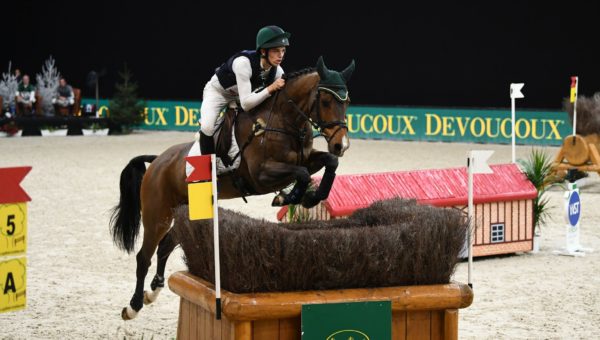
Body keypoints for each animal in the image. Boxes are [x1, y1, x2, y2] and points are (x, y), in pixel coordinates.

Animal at [109, 55, 354, 318]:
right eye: (326, 101)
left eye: (347, 102)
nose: (341, 145)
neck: (283, 120)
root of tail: (157, 161)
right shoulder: (261, 175)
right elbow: (301, 173)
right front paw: (288, 197)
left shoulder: (306, 159)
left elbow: (328, 163)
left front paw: (310, 197)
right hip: (158, 215)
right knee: (144, 257)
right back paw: (133, 306)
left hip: (186, 211)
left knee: (164, 246)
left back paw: (153, 292)